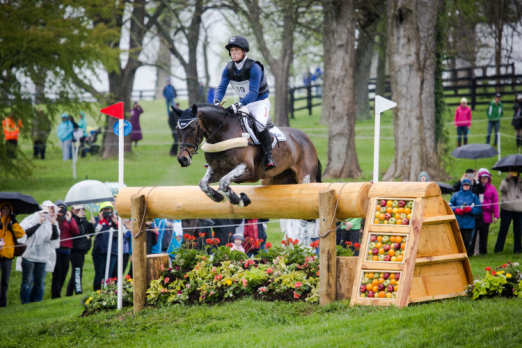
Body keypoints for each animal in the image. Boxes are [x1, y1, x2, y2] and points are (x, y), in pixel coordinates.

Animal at [173, 103, 318, 207]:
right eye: (177, 130)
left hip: (305, 178)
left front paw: (241, 200)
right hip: (273, 179)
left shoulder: (246, 169)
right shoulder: (217, 170)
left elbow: (224, 182)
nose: (182, 159)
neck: (223, 133)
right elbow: (203, 184)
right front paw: (219, 197)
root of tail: (307, 139)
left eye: (193, 128)